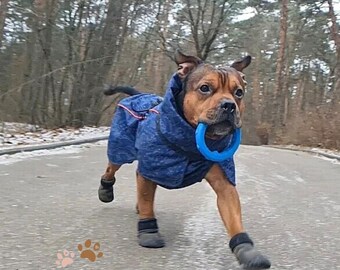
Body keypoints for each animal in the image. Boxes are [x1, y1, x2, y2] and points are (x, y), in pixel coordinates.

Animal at [98, 50, 270, 268]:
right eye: (205, 88)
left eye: (238, 92)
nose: (229, 105)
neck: (189, 145)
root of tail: (139, 95)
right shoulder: (152, 166)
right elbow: (146, 198)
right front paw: (148, 232)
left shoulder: (224, 184)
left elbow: (233, 216)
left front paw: (246, 249)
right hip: (121, 147)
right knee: (112, 167)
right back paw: (106, 189)